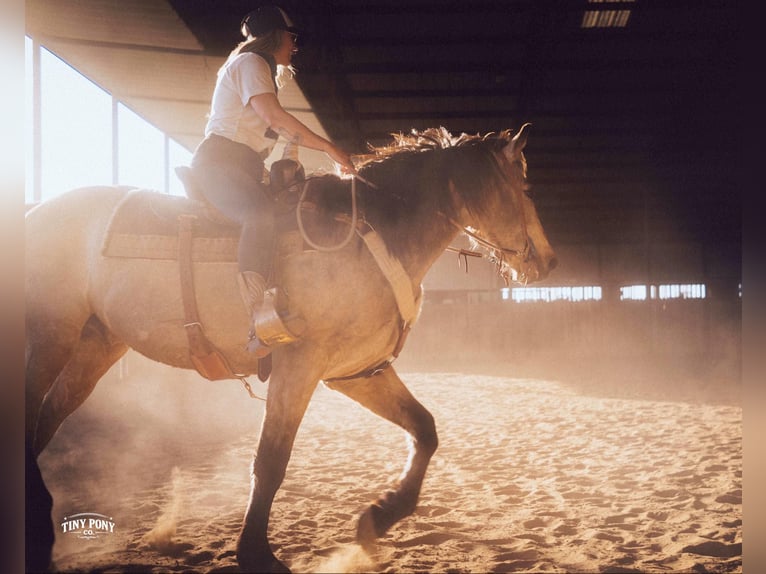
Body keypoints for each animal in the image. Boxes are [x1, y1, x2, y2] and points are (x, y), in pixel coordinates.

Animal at [25, 125, 557, 572]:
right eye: (524, 188)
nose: (549, 262)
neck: (368, 237)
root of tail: (34, 213)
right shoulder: (299, 367)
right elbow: (271, 460)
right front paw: (255, 553)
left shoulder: (355, 372)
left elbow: (424, 430)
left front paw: (379, 516)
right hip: (50, 336)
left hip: (96, 345)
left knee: (48, 416)